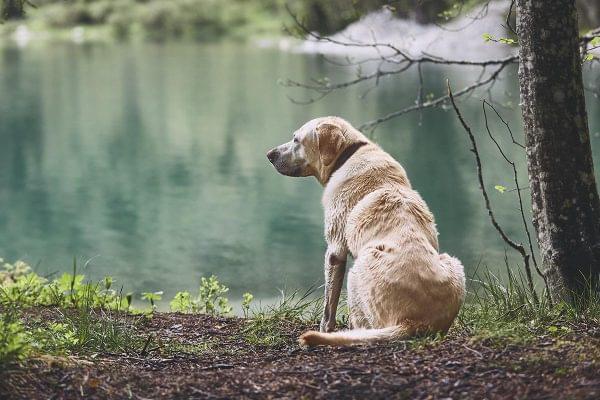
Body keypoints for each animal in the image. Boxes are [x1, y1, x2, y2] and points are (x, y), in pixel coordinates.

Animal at [268, 116, 468, 346]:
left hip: (357, 271)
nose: (269, 155)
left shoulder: (335, 250)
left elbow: (329, 304)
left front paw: (325, 328)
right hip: (454, 264)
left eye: (296, 140)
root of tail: (414, 322)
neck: (347, 155)